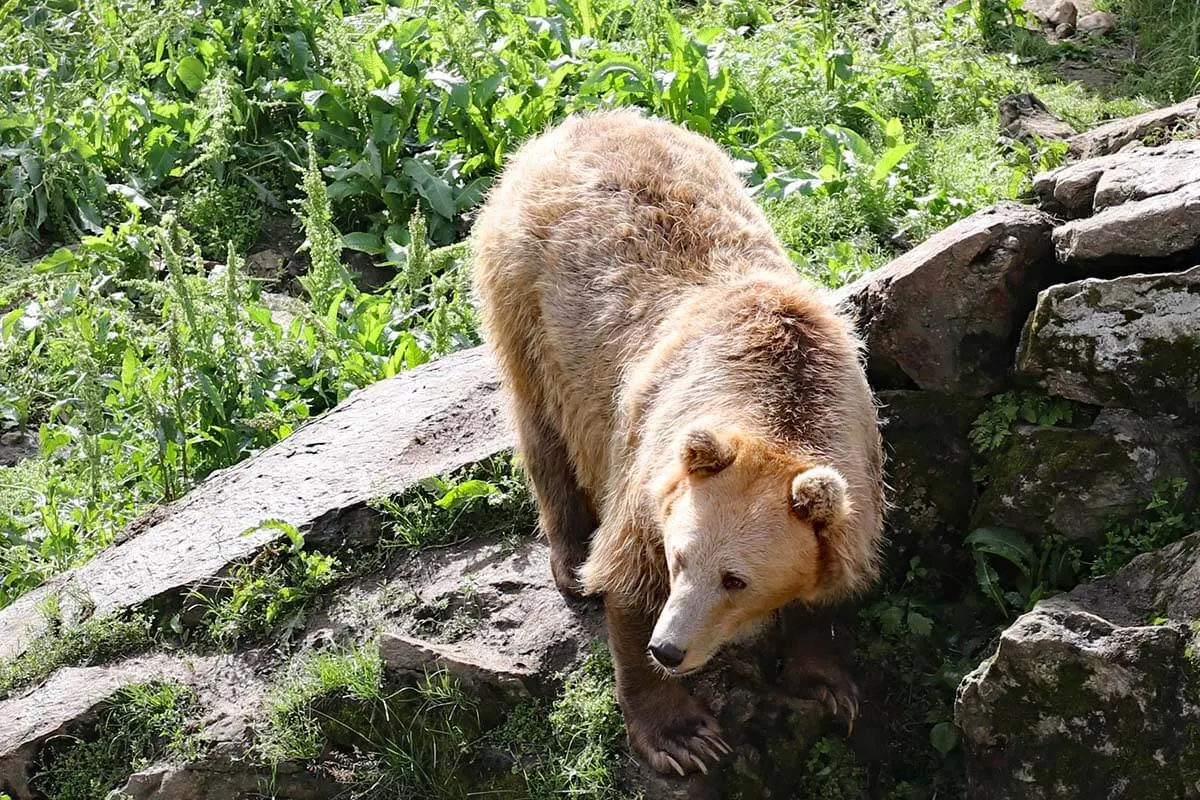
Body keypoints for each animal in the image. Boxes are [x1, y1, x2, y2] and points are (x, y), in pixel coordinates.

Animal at [472, 106, 888, 777]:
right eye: (680, 557)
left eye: (736, 579)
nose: (669, 648)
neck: (782, 395)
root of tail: (582, 119)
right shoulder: (653, 462)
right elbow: (626, 574)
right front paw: (683, 735)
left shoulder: (857, 458)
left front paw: (827, 684)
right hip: (526, 299)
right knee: (542, 426)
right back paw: (569, 554)